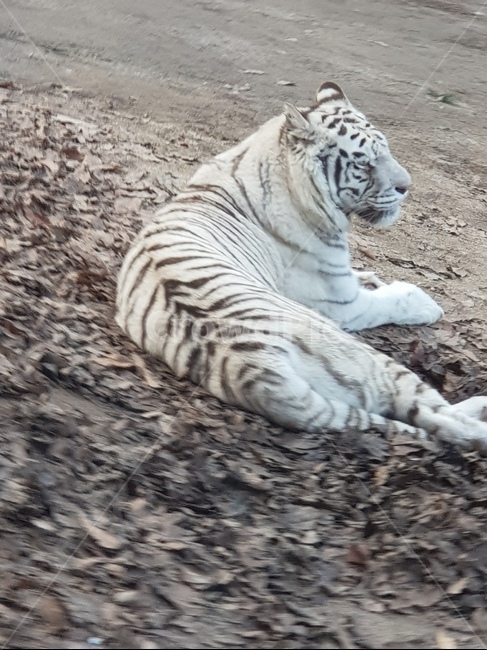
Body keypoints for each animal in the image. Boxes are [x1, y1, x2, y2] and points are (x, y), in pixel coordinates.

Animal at [116, 81, 487, 451]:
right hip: (369, 359)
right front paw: (426, 303)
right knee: (446, 420)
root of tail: (252, 367)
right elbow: (396, 298)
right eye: (365, 163)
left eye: (386, 150)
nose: (405, 187)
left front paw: (372, 276)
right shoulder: (342, 304)